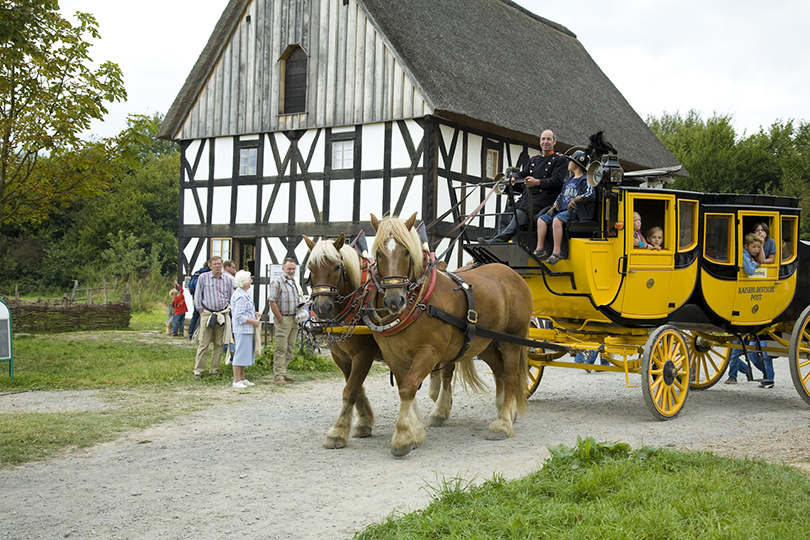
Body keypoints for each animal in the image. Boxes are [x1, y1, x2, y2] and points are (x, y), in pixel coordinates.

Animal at [304, 234, 382, 450]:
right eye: (311, 267)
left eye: (337, 267)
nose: (322, 308)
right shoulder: (341, 357)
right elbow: (356, 387)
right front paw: (364, 422)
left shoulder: (364, 355)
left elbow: (350, 391)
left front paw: (337, 432)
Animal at [370, 214, 532, 456]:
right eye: (379, 253)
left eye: (407, 252)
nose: (394, 300)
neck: (421, 302)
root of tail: (511, 272)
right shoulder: (393, 355)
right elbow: (405, 388)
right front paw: (415, 431)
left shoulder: (428, 353)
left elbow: (408, 388)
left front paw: (402, 437)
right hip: (485, 344)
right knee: (501, 372)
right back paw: (507, 411)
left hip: (512, 339)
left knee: (511, 376)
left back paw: (503, 423)